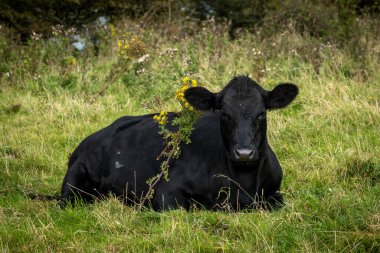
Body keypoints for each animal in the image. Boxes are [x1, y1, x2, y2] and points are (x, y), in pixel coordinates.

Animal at [60, 76, 296, 211]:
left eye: (261, 113)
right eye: (225, 114)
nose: (244, 153)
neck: (243, 182)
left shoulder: (275, 194)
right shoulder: (166, 193)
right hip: (74, 180)